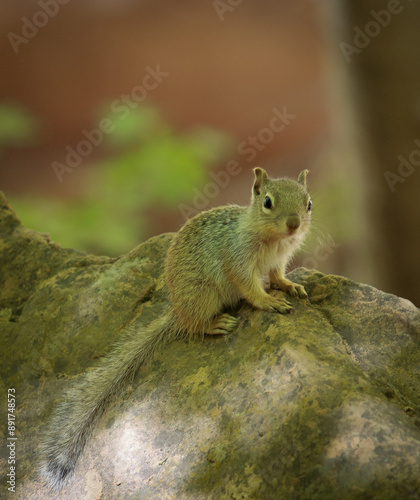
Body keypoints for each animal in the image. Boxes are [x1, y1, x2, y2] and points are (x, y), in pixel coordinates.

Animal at [39, 167, 312, 488]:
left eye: (308, 203)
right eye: (268, 202)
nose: (294, 224)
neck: (273, 239)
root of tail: (177, 311)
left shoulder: (279, 260)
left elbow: (278, 275)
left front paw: (290, 286)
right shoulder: (238, 261)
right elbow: (249, 287)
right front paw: (269, 301)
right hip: (205, 295)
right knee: (194, 326)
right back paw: (216, 323)